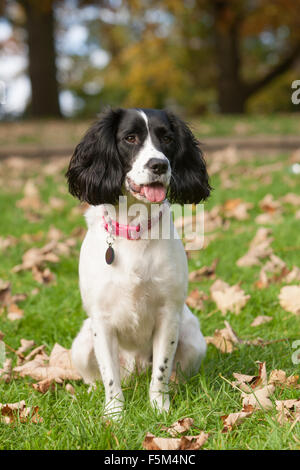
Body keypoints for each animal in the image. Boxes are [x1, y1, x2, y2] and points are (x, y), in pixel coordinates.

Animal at [66, 107, 211, 418]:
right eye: (130, 138)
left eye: (167, 138)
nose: (160, 165)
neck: (134, 229)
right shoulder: (101, 321)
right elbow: (109, 376)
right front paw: (114, 414)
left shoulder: (169, 314)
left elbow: (161, 370)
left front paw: (159, 408)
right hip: (81, 345)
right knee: (94, 377)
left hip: (193, 337)